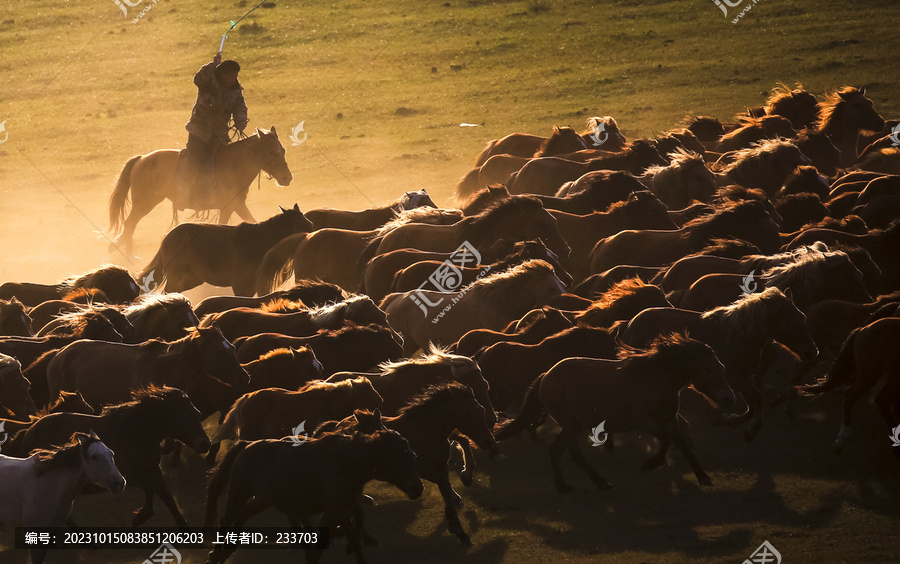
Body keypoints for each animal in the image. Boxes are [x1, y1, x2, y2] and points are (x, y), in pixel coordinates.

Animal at [107, 126, 294, 256]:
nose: (287, 177)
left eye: (283, 150)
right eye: (271, 151)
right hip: (144, 203)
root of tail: (141, 159)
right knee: (129, 225)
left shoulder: (230, 206)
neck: (234, 164)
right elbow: (250, 220)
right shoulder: (236, 204)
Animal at [139, 205, 312, 298]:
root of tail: (168, 237)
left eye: (308, 222)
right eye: (298, 225)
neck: (257, 243)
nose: (311, 235)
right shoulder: (242, 286)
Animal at [496, 332, 736, 492]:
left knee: (555, 450)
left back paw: (564, 485)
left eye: (723, 368)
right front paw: (650, 464)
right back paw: (601, 482)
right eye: (708, 370)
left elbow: (683, 446)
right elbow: (666, 441)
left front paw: (703, 476)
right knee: (573, 453)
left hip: (575, 425)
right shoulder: (642, 420)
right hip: (570, 424)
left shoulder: (670, 421)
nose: (729, 399)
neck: (655, 380)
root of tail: (546, 375)